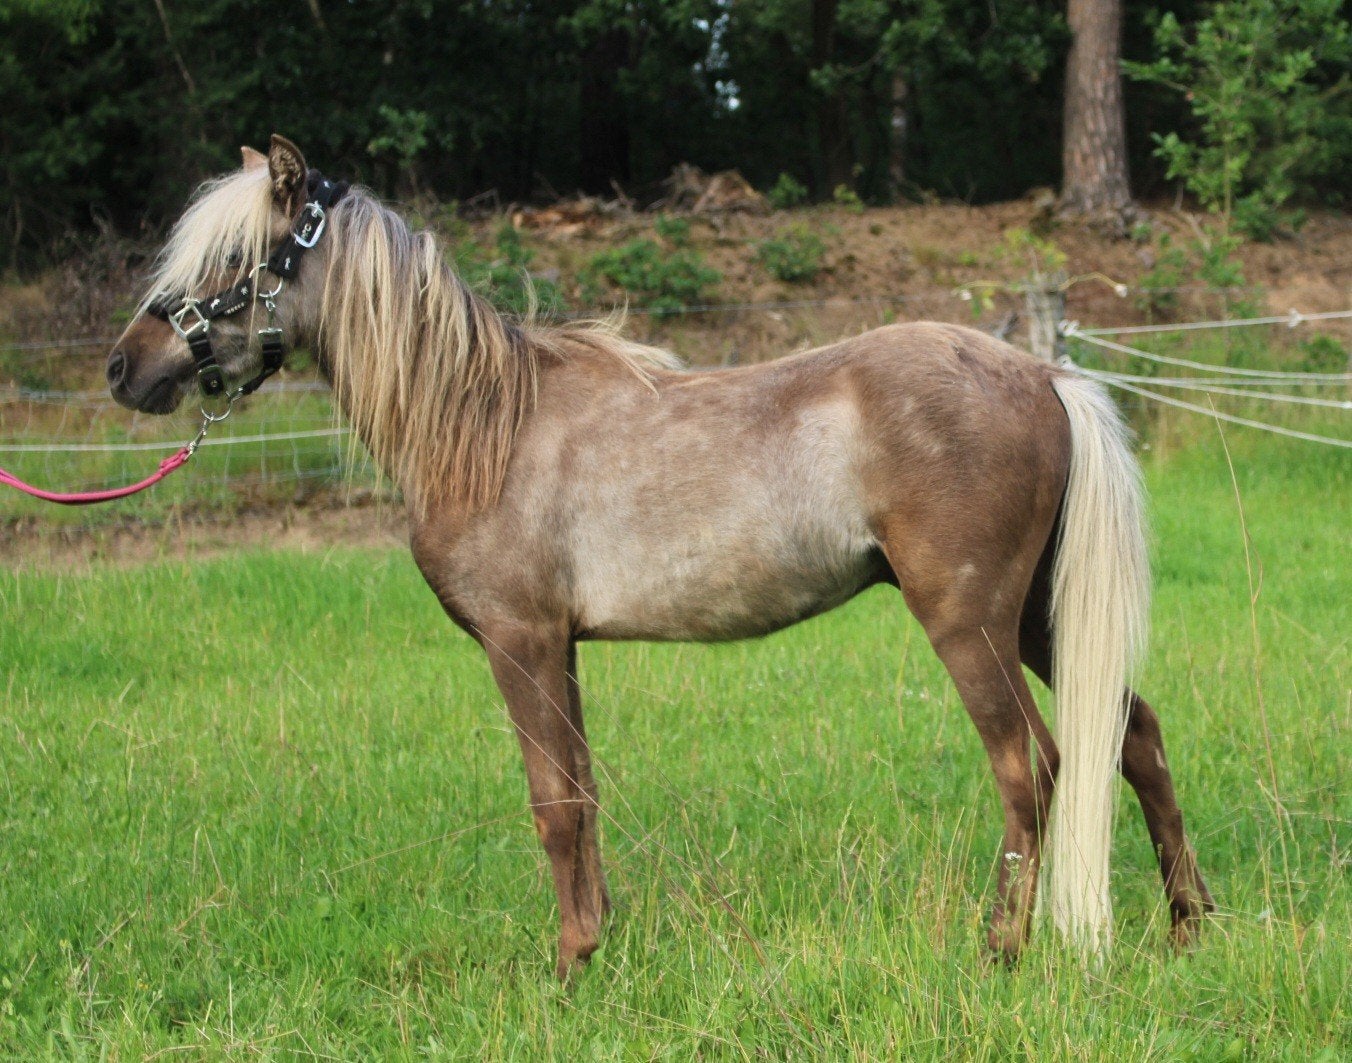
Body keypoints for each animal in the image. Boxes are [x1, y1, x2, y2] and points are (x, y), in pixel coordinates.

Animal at [107, 135, 1213, 978]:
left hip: (968, 620)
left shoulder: (518, 641)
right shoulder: (560, 646)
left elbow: (553, 805)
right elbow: (584, 794)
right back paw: (1187, 924)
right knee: (1134, 735)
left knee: (1031, 765)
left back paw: (1000, 950)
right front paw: (595, 945)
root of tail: (1041, 373)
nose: (126, 368)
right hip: (1035, 613)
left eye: (234, 263)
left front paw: (563, 969)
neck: (484, 422)